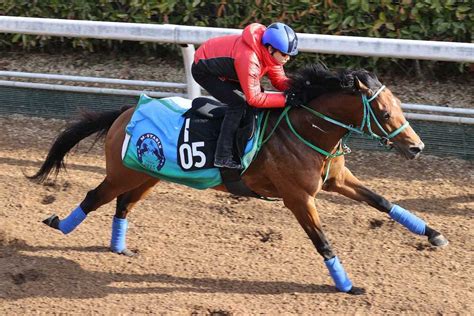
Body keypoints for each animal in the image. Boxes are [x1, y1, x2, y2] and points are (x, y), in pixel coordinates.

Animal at [28, 63, 448, 294]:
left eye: (398, 106)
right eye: (383, 111)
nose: (417, 147)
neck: (307, 131)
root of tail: (124, 111)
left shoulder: (335, 181)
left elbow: (382, 200)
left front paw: (433, 234)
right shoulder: (299, 198)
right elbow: (324, 242)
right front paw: (346, 285)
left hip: (150, 175)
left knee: (122, 204)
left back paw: (119, 247)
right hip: (123, 173)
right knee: (93, 196)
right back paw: (58, 224)